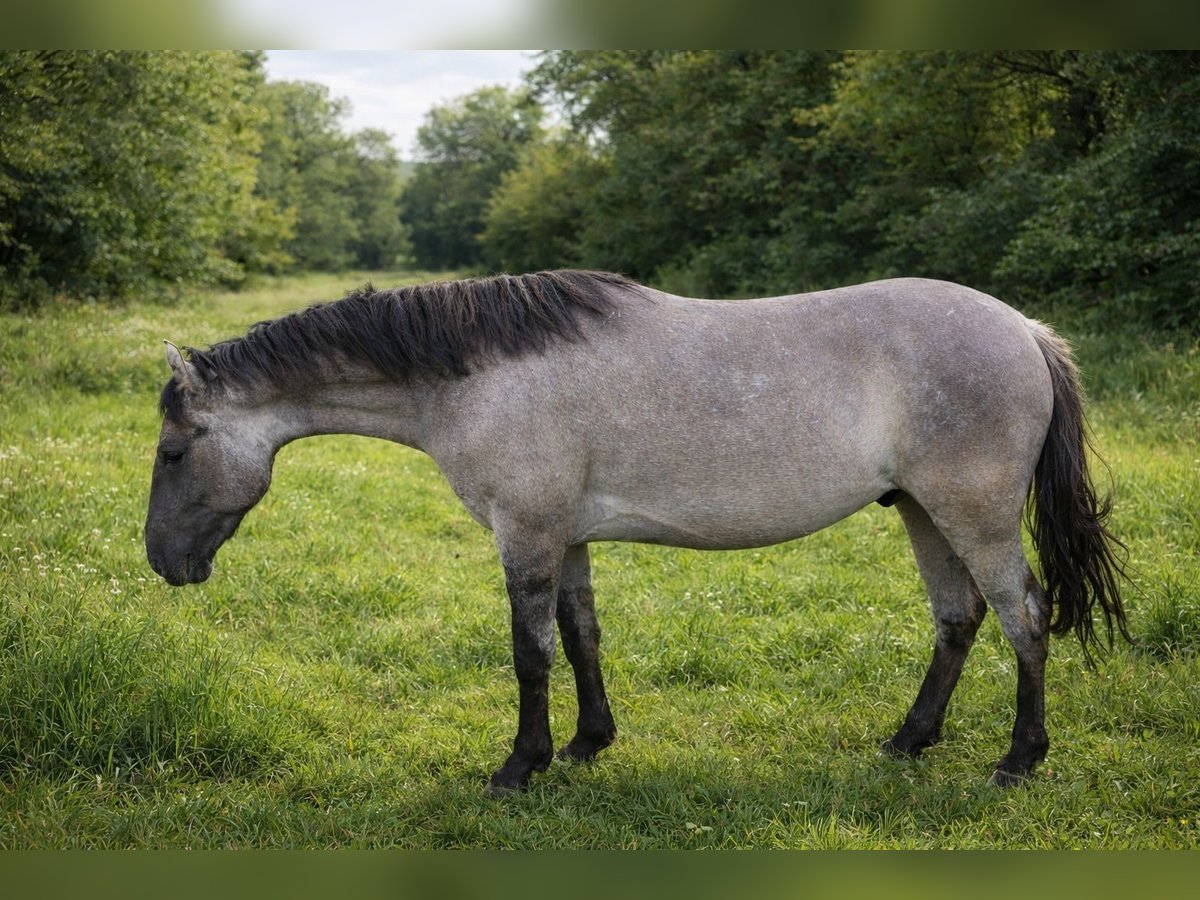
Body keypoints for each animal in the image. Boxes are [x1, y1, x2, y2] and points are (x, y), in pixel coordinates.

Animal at [145, 270, 1128, 795]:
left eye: (173, 451)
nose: (162, 563)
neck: (480, 374)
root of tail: (1023, 328)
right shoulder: (566, 536)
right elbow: (581, 635)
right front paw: (588, 743)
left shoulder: (526, 534)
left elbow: (530, 652)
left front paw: (521, 765)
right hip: (923, 511)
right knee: (958, 619)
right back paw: (909, 739)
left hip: (974, 514)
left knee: (1023, 616)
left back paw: (1018, 759)